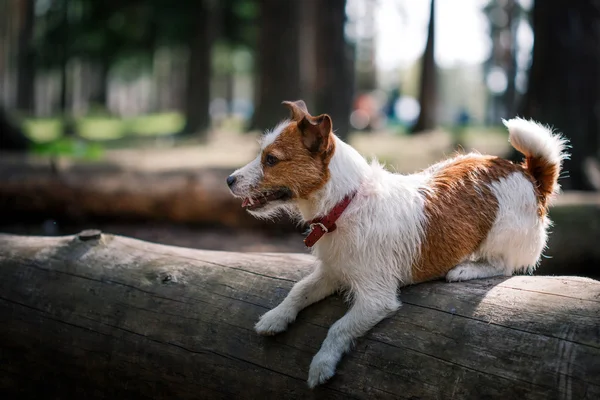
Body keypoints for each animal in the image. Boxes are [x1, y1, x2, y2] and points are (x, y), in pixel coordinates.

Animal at [225, 100, 568, 388]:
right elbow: (299, 290)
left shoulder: (376, 299)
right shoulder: (334, 271)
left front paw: (322, 363)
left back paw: (467, 269)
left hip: (501, 234)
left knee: (505, 266)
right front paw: (275, 317)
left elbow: (339, 327)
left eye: (271, 160)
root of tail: (528, 174)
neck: (346, 204)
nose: (228, 180)